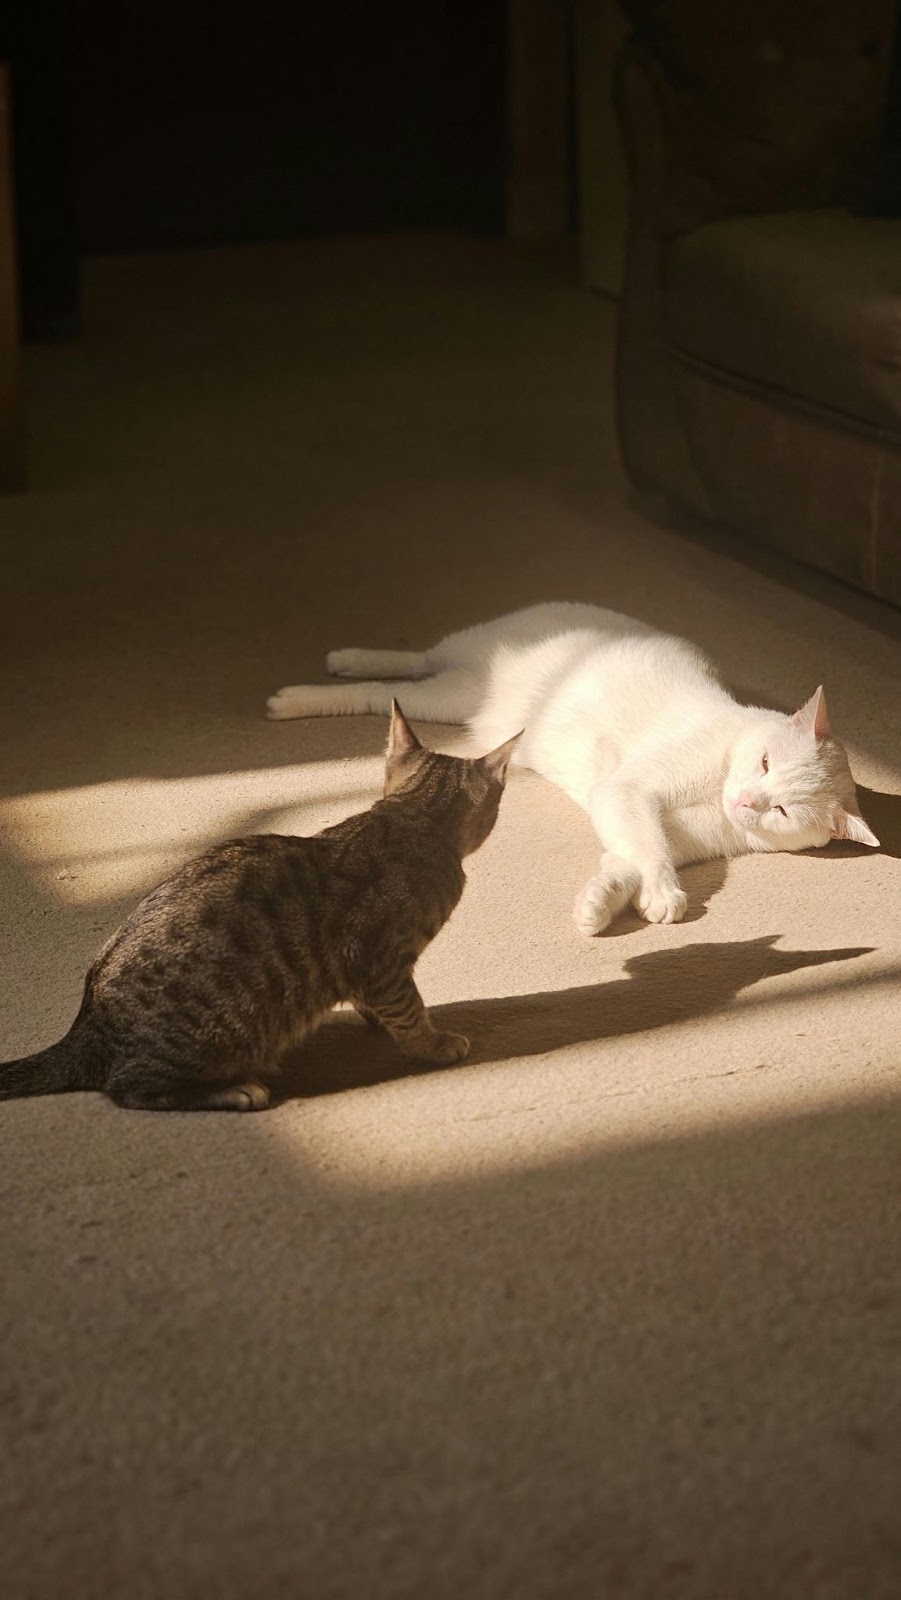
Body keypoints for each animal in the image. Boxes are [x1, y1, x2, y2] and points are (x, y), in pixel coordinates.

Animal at [0, 707, 521, 1107]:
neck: (411, 818)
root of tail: (87, 1024)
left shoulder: (368, 971)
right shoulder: (379, 958)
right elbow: (408, 1010)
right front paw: (432, 1043)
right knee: (127, 1089)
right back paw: (235, 1091)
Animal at [267, 598, 883, 934]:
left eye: (781, 811)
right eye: (764, 762)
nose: (746, 800)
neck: (716, 794)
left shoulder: (653, 828)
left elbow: (632, 860)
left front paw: (600, 906)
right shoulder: (627, 790)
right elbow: (650, 853)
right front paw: (665, 897)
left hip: (451, 699)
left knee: (396, 683)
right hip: (450, 681)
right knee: (398, 671)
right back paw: (310, 683)